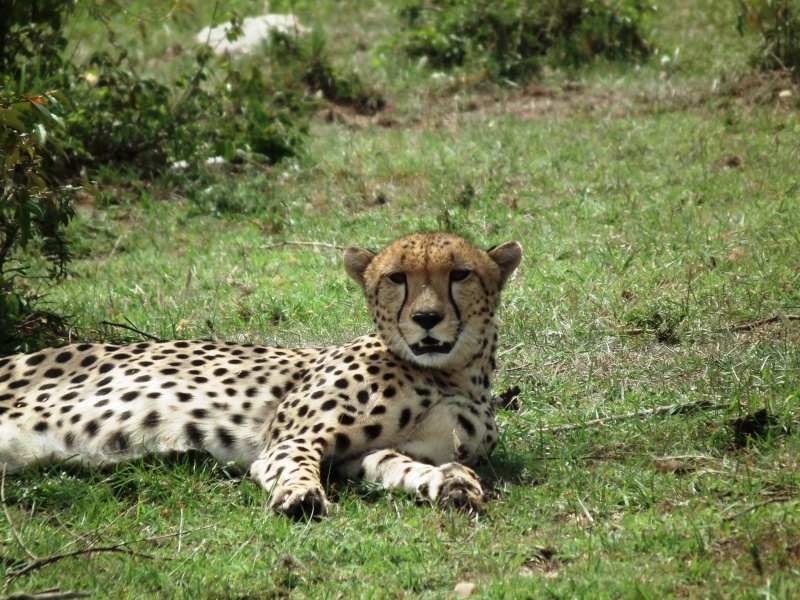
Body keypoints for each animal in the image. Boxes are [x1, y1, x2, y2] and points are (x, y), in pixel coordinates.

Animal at [0, 232, 520, 516]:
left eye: (459, 274)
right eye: (397, 278)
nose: (427, 319)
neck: (451, 374)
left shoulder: (362, 455)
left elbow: (400, 464)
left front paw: (448, 482)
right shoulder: (290, 439)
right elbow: (291, 461)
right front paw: (300, 494)